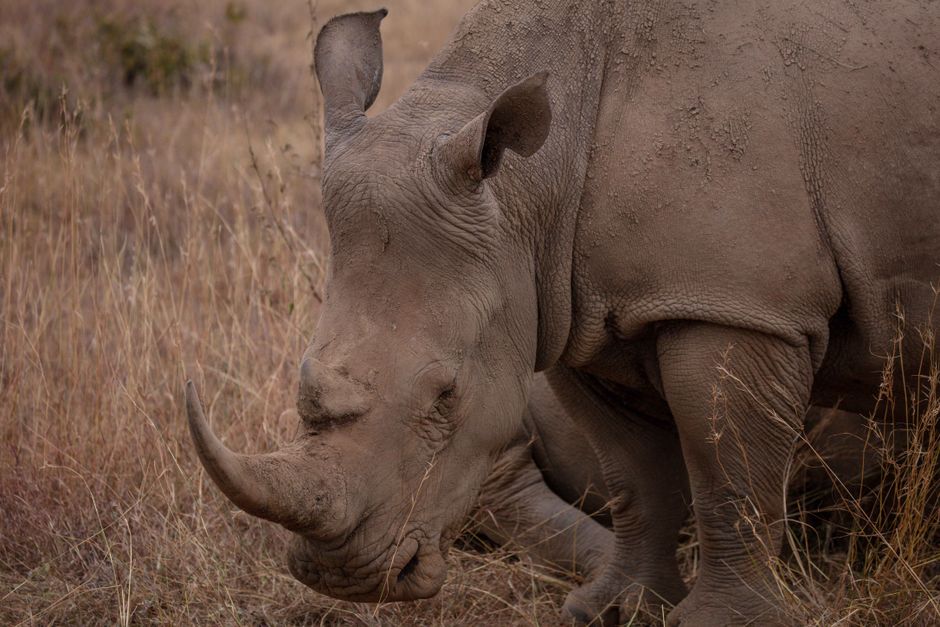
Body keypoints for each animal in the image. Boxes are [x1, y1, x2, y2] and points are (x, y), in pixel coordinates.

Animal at [187, 1, 940, 624]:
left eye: (446, 395)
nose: (341, 576)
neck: (531, 185)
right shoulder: (579, 310)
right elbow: (638, 473)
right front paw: (612, 610)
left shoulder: (738, 303)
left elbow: (727, 468)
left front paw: (719, 623)